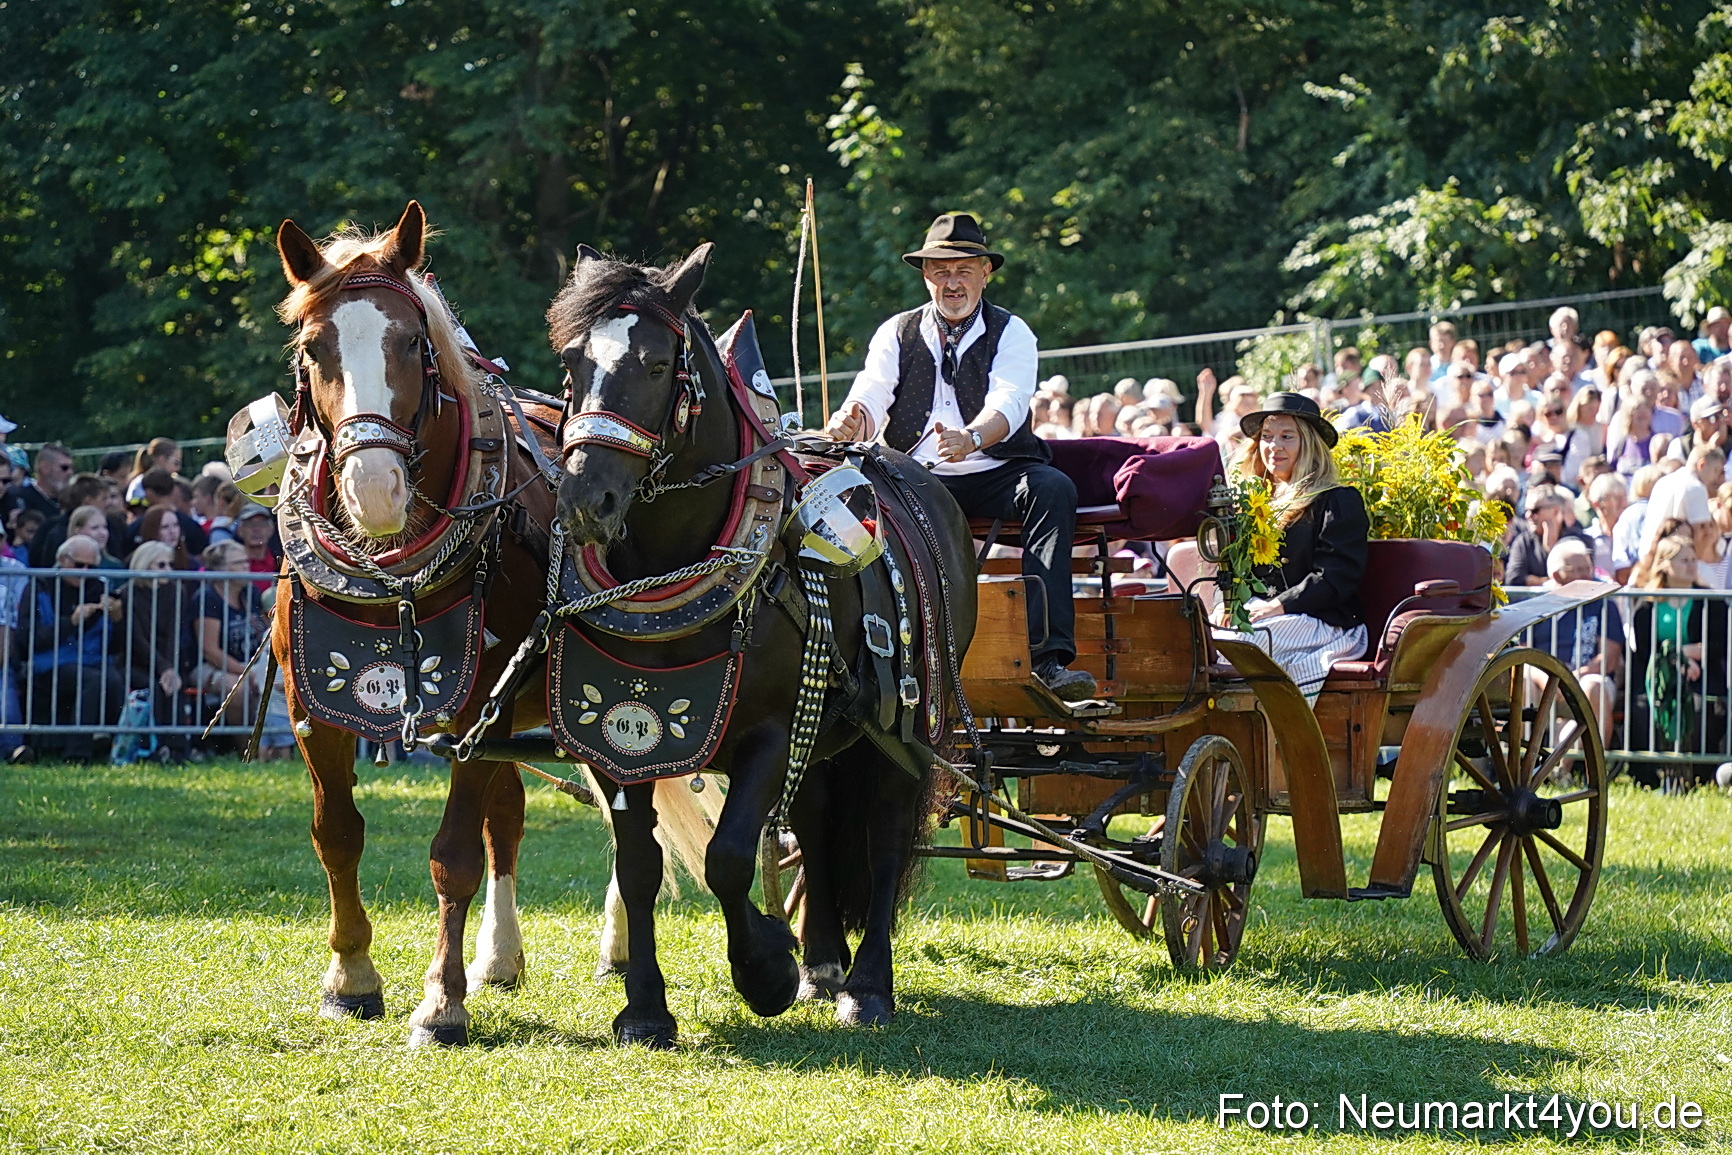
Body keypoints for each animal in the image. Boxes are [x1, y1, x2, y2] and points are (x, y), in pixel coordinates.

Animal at [268, 201, 710, 1046]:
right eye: (314, 348)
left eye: (412, 342)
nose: (374, 487)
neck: (396, 570)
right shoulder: (312, 705)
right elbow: (337, 833)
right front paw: (352, 976)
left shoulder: (479, 706)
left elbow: (451, 855)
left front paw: (439, 1003)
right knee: (511, 818)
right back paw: (499, 956)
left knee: (624, 818)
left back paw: (616, 948)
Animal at [548, 242, 977, 1045]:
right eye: (571, 363)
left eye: (657, 364)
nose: (587, 500)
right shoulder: (619, 743)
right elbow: (639, 866)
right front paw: (645, 1007)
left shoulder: (770, 733)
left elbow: (728, 858)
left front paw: (766, 968)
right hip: (830, 727)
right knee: (816, 821)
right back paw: (825, 962)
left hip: (900, 726)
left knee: (886, 833)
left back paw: (866, 984)